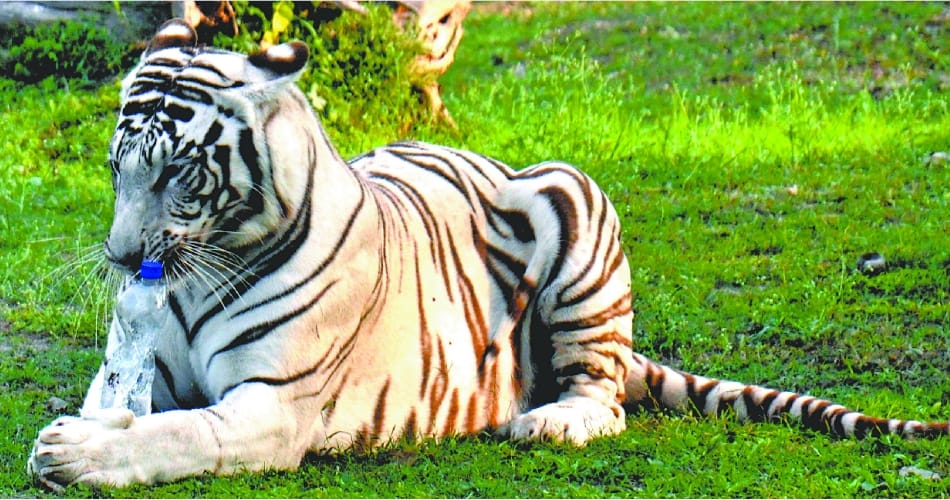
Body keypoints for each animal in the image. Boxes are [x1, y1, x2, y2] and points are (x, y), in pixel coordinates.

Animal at [28, 19, 949, 491]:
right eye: (116, 170)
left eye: (178, 175)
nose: (122, 258)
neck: (197, 277)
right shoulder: (132, 366)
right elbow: (132, 404)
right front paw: (86, 431)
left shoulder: (275, 405)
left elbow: (182, 433)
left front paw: (74, 453)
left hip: (574, 200)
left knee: (603, 396)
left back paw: (548, 420)